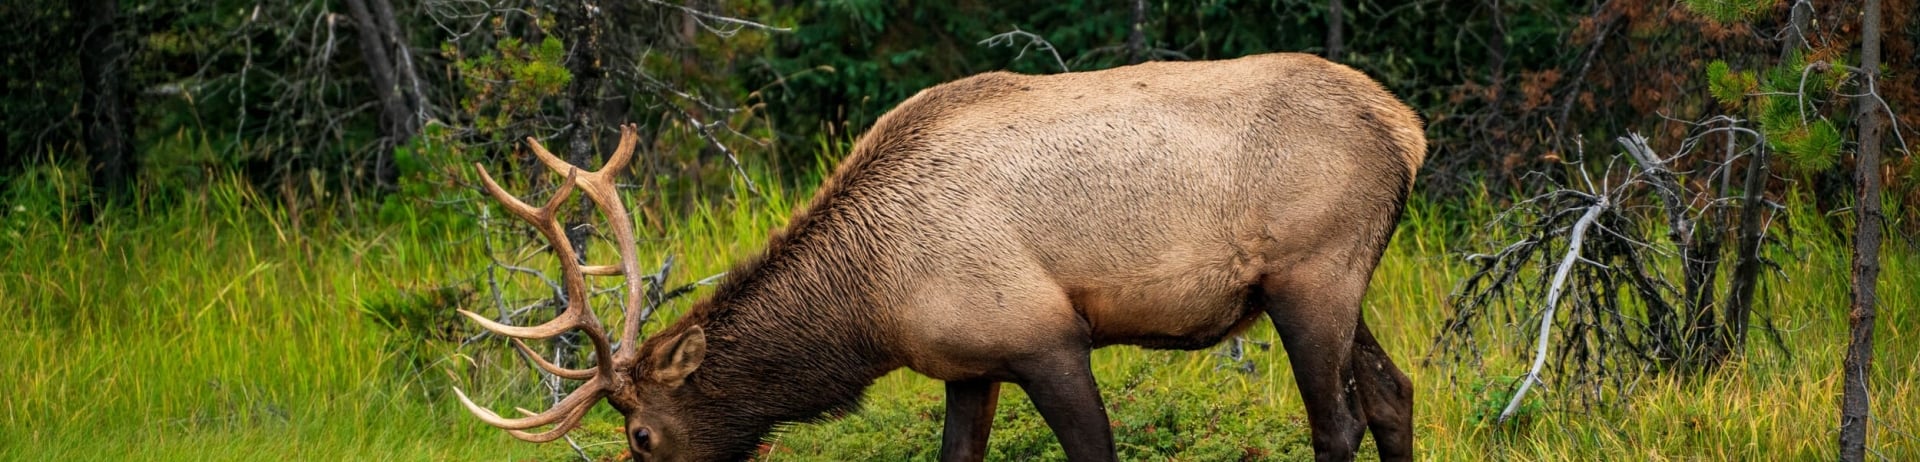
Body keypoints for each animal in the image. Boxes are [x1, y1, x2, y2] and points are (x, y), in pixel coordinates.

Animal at [453, 52, 1424, 462]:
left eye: (644, 434)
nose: (639, 447)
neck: (873, 309)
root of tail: (1408, 131)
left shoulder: (1044, 336)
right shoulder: (970, 362)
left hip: (1310, 275)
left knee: (1336, 422)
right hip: (1341, 281)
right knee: (1393, 394)